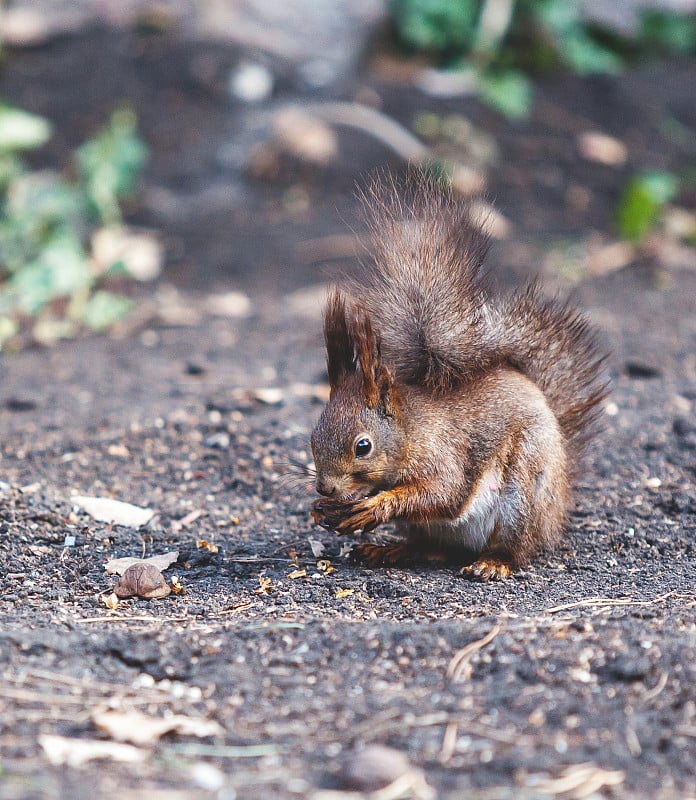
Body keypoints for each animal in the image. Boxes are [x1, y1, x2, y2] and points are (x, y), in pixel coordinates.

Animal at [310, 172, 608, 580]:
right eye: (313, 436)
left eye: (363, 446)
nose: (325, 489)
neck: (411, 433)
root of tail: (558, 506)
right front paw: (321, 511)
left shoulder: (443, 455)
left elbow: (443, 493)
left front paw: (376, 505)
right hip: (437, 529)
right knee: (433, 548)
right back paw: (392, 550)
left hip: (524, 494)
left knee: (516, 548)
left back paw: (494, 562)